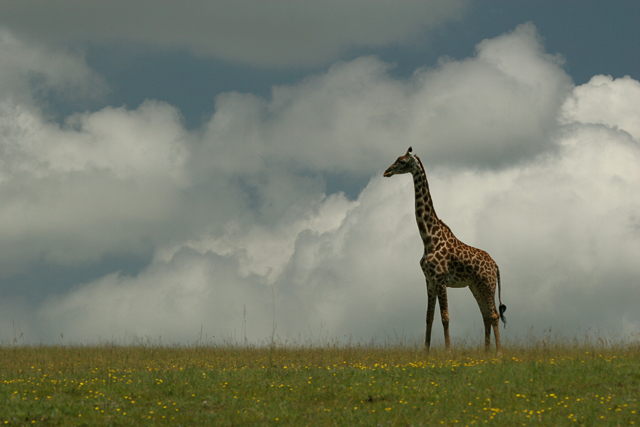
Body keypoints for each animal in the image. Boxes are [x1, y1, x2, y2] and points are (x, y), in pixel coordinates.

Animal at [382, 147, 508, 354]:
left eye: (402, 161)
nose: (386, 172)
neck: (428, 238)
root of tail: (496, 265)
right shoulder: (429, 280)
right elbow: (429, 317)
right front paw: (426, 351)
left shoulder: (440, 279)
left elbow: (445, 316)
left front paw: (448, 351)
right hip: (476, 286)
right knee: (485, 315)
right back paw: (486, 351)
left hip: (487, 285)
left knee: (494, 314)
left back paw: (498, 352)